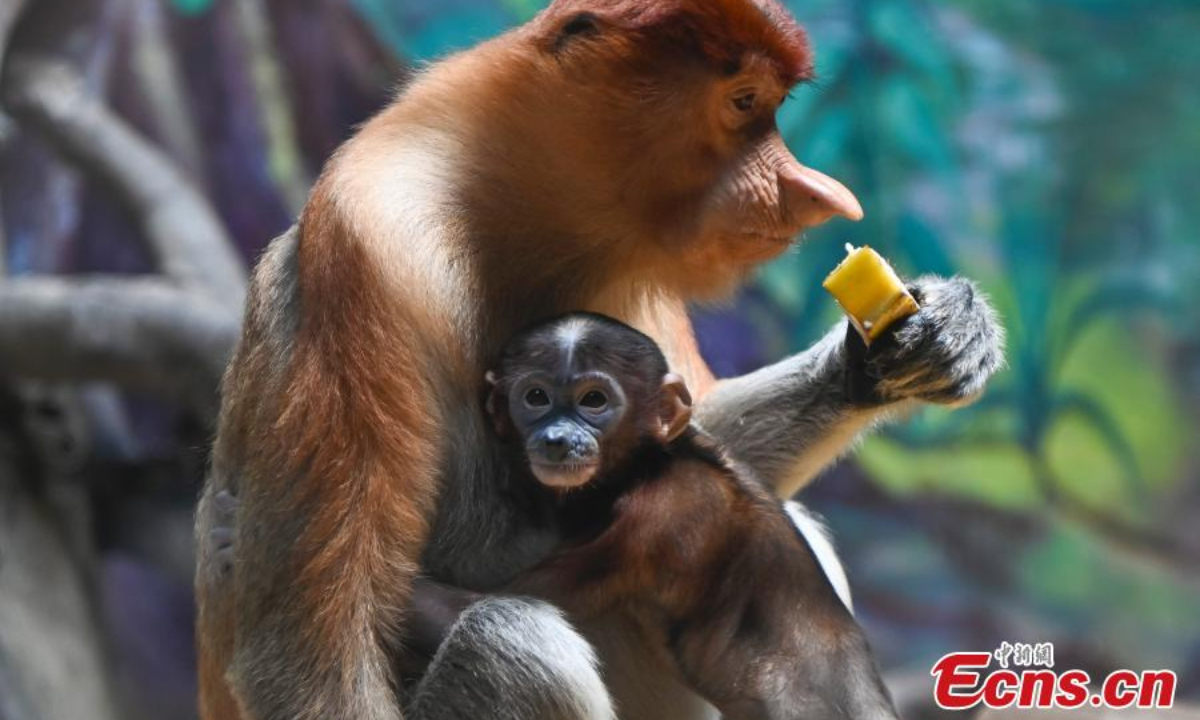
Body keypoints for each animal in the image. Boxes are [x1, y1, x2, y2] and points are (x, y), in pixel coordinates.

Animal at [449, 312, 902, 720]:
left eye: (594, 400)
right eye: (536, 397)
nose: (557, 438)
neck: (651, 462)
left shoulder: (656, 517)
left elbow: (516, 593)